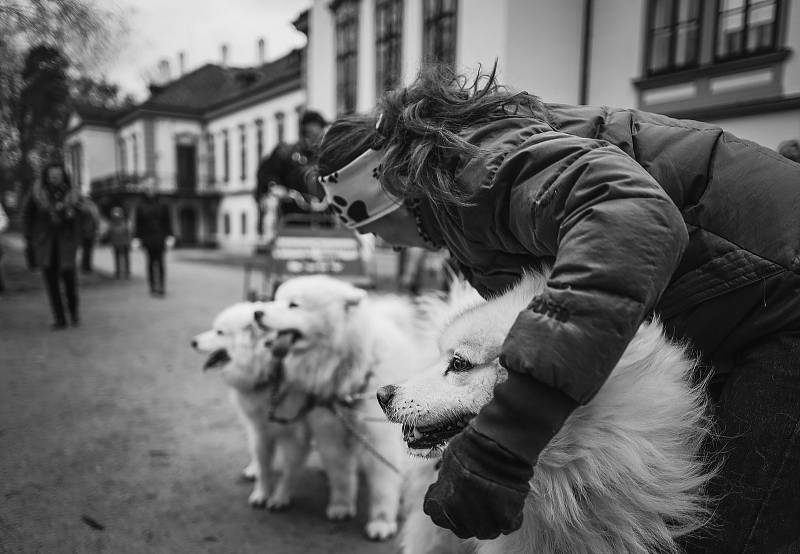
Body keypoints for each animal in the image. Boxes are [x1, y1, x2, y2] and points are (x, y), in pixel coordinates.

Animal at [189, 302, 310, 508]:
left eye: (219, 332)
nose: (192, 342)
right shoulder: (261, 429)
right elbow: (264, 466)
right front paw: (261, 493)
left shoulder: (296, 435)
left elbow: (289, 470)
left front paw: (280, 497)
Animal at [256, 276, 434, 540]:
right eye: (275, 299)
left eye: (293, 305)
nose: (257, 312)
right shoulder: (329, 431)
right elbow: (340, 473)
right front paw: (341, 505)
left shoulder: (379, 439)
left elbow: (383, 484)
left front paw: (382, 522)